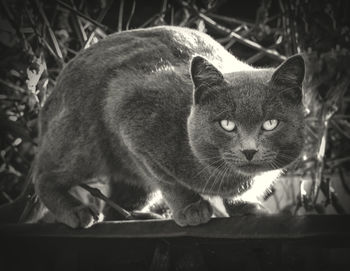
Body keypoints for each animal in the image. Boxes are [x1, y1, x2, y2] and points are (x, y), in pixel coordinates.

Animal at [34, 25, 304, 230]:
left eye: (270, 123)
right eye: (227, 124)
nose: (249, 150)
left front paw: (246, 207)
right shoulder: (129, 116)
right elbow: (169, 182)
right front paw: (190, 208)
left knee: (118, 205)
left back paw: (140, 216)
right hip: (84, 142)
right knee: (45, 177)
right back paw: (77, 211)